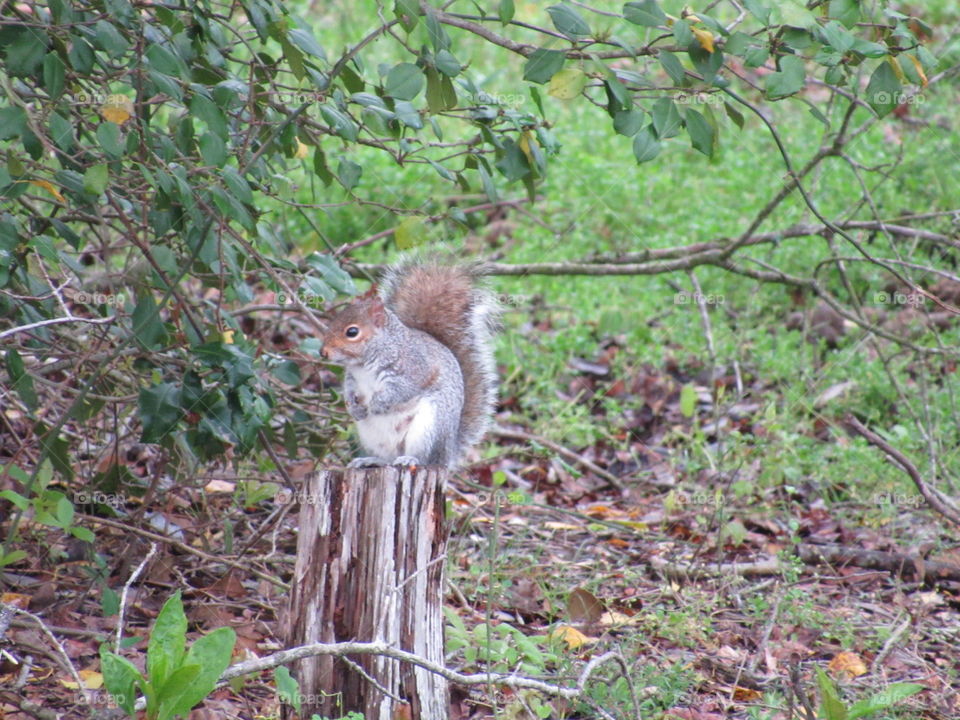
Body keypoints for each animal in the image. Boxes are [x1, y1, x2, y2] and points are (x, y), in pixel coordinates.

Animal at [320, 261, 499, 469]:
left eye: (352, 332)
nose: (322, 352)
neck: (363, 364)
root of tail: (446, 458)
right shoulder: (352, 377)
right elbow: (348, 388)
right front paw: (353, 407)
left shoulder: (415, 368)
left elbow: (400, 391)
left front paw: (376, 404)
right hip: (374, 438)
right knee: (388, 459)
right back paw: (370, 460)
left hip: (428, 428)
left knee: (423, 459)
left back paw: (410, 459)